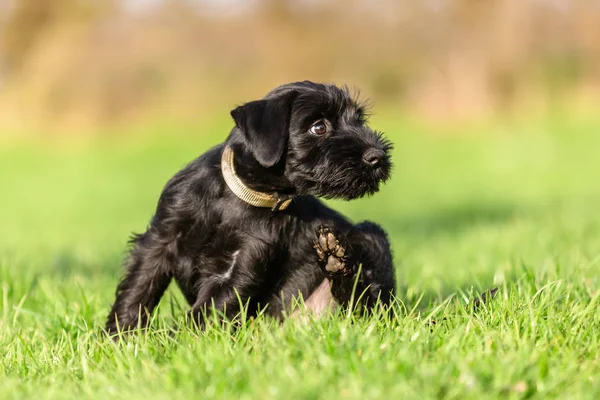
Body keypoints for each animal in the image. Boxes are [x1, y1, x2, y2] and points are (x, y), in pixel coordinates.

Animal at [106, 81, 398, 334]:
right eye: (318, 127)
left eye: (358, 120)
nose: (378, 157)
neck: (235, 198)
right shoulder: (159, 241)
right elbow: (138, 290)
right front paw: (118, 338)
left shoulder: (243, 261)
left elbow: (207, 309)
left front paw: (175, 341)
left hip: (372, 238)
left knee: (365, 305)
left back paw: (335, 258)